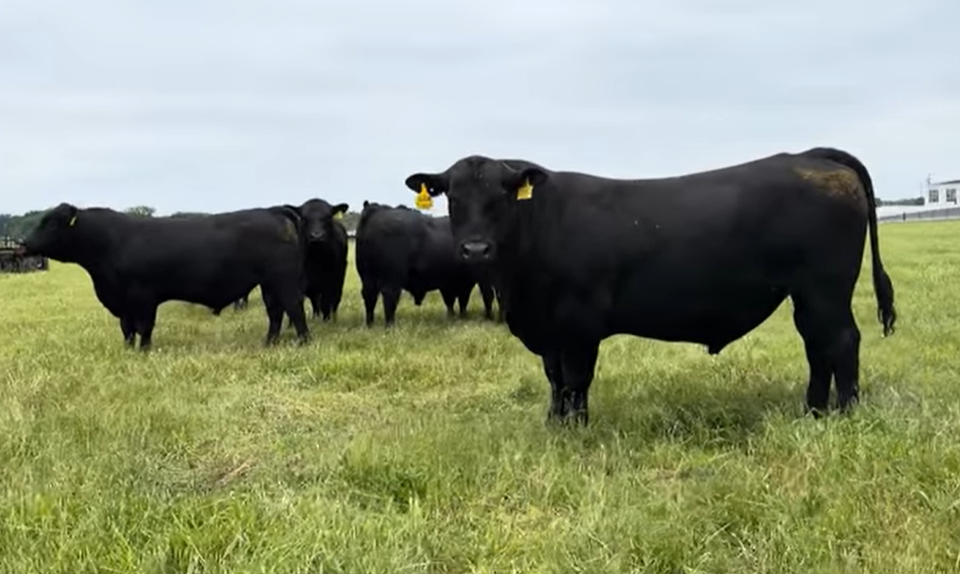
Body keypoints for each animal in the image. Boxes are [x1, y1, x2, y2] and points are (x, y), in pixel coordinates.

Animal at [20, 202, 310, 351]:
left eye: (51, 222)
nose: (25, 243)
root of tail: (272, 211)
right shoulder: (123, 301)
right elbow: (126, 328)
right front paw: (128, 350)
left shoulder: (143, 296)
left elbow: (144, 327)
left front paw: (144, 351)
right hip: (269, 283)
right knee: (275, 312)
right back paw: (268, 343)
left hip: (282, 279)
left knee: (294, 307)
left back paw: (304, 341)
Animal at [355, 201, 497, 326]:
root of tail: (376, 210)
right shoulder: (479, 279)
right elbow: (483, 296)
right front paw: (487, 317)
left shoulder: (452, 282)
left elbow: (454, 301)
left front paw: (455, 318)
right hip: (391, 280)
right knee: (389, 298)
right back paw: (390, 326)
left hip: (367, 279)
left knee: (370, 298)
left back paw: (370, 325)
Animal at [404, 147, 897, 425]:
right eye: (454, 198)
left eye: (501, 195)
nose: (474, 250)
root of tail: (809, 156)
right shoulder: (549, 330)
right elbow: (554, 379)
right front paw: (553, 424)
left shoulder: (579, 323)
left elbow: (575, 380)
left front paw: (575, 430)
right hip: (808, 295)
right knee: (818, 346)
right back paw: (813, 412)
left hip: (825, 289)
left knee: (840, 342)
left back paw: (843, 414)